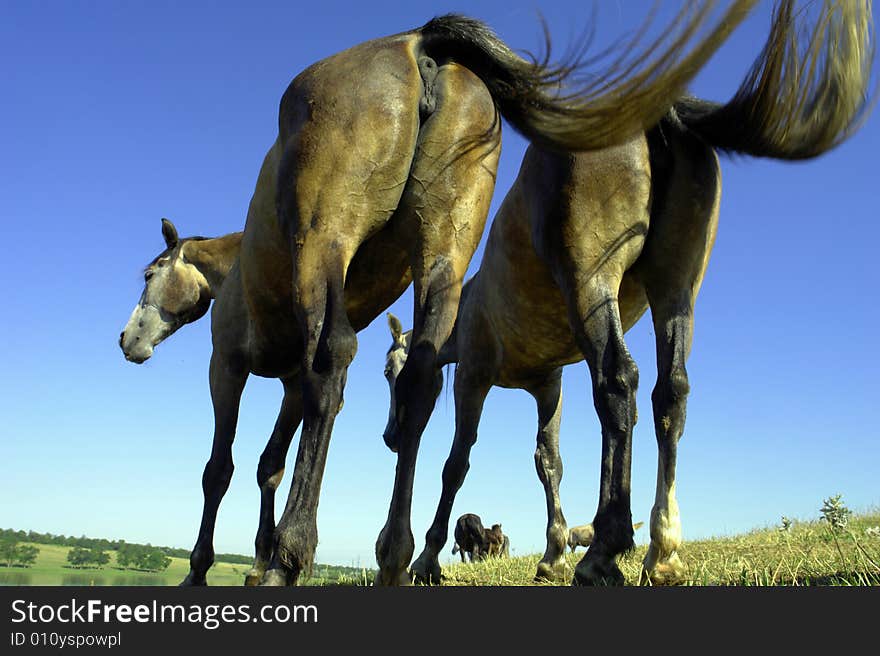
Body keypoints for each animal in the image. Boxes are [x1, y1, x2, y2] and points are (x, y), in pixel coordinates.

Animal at [120, 5, 760, 588]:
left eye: (149, 273)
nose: (128, 339)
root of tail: (418, 41)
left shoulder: (229, 366)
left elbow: (224, 467)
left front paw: (209, 568)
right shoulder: (542, 382)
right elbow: (544, 459)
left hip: (372, 246)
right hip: (651, 285)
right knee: (662, 391)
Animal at [384, 0, 872, 584]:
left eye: (389, 371)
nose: (390, 437)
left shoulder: (472, 377)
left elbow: (456, 463)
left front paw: (427, 557)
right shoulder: (549, 386)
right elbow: (547, 461)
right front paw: (551, 553)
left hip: (592, 282)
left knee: (618, 383)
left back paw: (605, 548)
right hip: (676, 290)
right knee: (670, 393)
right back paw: (663, 549)